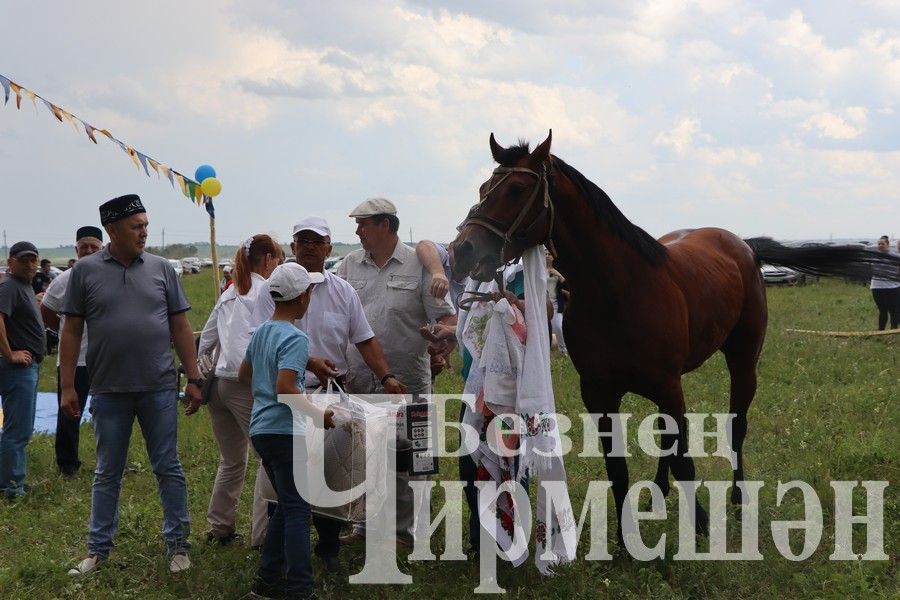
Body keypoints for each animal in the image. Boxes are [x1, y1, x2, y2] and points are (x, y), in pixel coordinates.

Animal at [454, 131, 900, 544]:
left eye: (516, 189)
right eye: (482, 188)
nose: (462, 249)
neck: (616, 290)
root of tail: (745, 246)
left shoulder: (667, 386)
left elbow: (684, 459)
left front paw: (699, 524)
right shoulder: (600, 394)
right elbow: (619, 466)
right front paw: (627, 537)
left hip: (741, 362)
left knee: (735, 426)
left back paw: (737, 497)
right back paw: (657, 491)